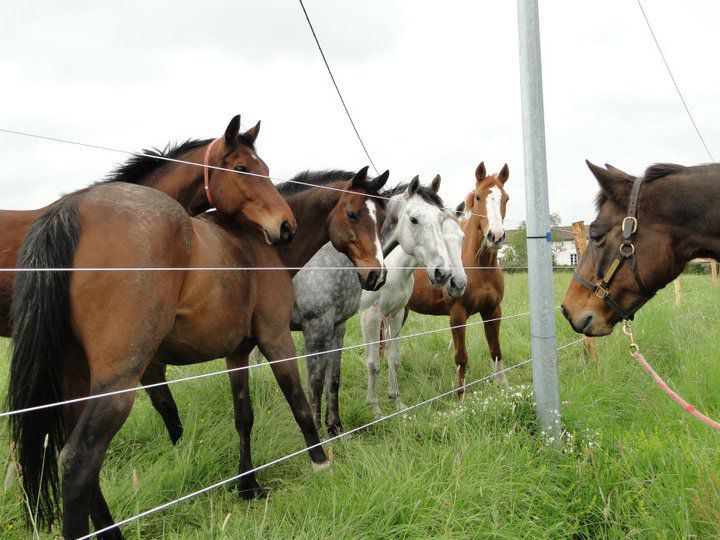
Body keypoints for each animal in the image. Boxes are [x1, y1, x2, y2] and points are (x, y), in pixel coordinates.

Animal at [8, 166, 388, 539]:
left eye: (383, 218)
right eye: (353, 214)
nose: (377, 275)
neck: (259, 246)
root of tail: (69, 209)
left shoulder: (237, 355)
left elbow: (244, 417)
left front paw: (248, 486)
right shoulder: (278, 339)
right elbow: (300, 404)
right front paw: (321, 463)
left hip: (75, 382)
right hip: (117, 384)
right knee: (78, 460)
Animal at [359, 176, 468, 416]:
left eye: (462, 238)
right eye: (415, 220)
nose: (456, 281)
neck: (394, 269)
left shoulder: (395, 314)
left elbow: (393, 358)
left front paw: (395, 400)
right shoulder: (371, 314)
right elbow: (373, 362)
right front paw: (375, 408)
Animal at [404, 162, 510, 399]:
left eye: (506, 198)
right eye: (479, 197)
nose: (496, 236)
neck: (480, 267)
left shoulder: (493, 312)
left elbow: (496, 351)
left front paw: (502, 387)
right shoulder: (457, 315)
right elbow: (461, 358)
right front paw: (461, 396)